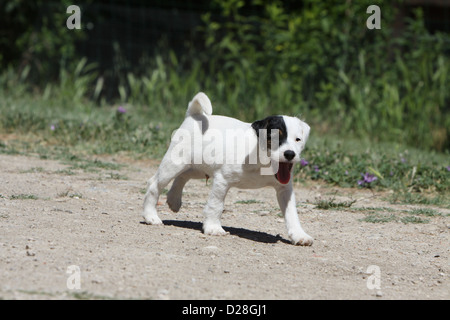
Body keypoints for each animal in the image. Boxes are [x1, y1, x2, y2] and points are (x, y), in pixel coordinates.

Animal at [144, 91, 312, 246]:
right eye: (275, 137)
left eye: (298, 140)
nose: (290, 154)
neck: (261, 158)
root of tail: (194, 115)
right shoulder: (222, 180)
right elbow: (216, 205)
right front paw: (213, 227)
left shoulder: (285, 189)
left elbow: (291, 213)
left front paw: (299, 235)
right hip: (174, 164)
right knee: (154, 184)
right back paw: (151, 216)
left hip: (197, 168)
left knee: (183, 176)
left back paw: (174, 200)